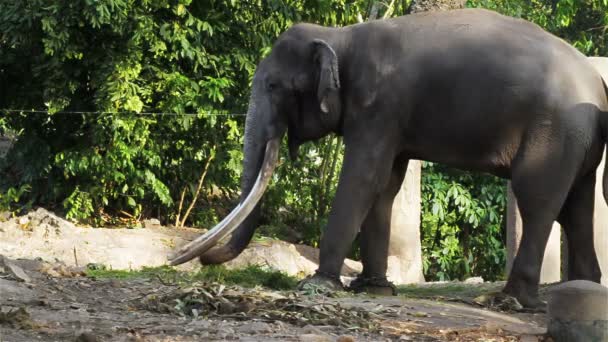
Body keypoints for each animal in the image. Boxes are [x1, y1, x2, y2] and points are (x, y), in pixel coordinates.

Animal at [170, 8, 608, 310]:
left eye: (274, 86)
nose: (187, 257)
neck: (341, 38)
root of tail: (598, 86)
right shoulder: (390, 119)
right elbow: (384, 186)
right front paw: (374, 288)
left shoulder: (378, 106)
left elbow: (363, 176)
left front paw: (316, 284)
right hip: (578, 138)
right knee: (576, 206)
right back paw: (581, 290)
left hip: (553, 131)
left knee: (538, 200)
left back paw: (511, 301)